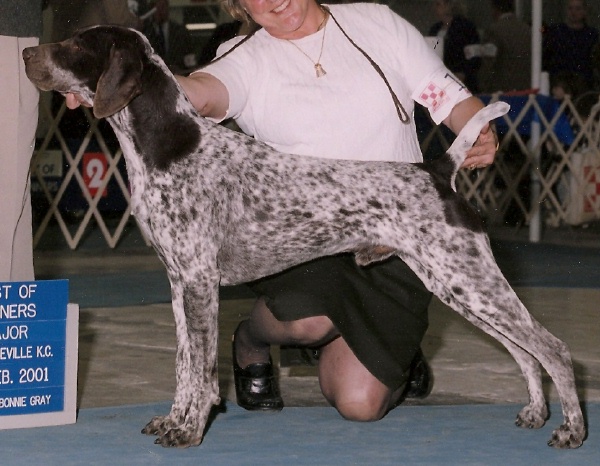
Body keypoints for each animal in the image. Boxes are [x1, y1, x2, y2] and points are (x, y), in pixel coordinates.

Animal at [23, 26, 585, 449]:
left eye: (75, 44)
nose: (26, 52)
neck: (168, 145)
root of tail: (437, 169)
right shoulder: (179, 283)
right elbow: (185, 364)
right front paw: (174, 419)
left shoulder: (200, 281)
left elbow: (200, 371)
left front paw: (189, 429)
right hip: (459, 287)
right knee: (524, 351)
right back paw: (535, 412)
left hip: (469, 280)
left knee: (552, 348)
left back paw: (571, 430)